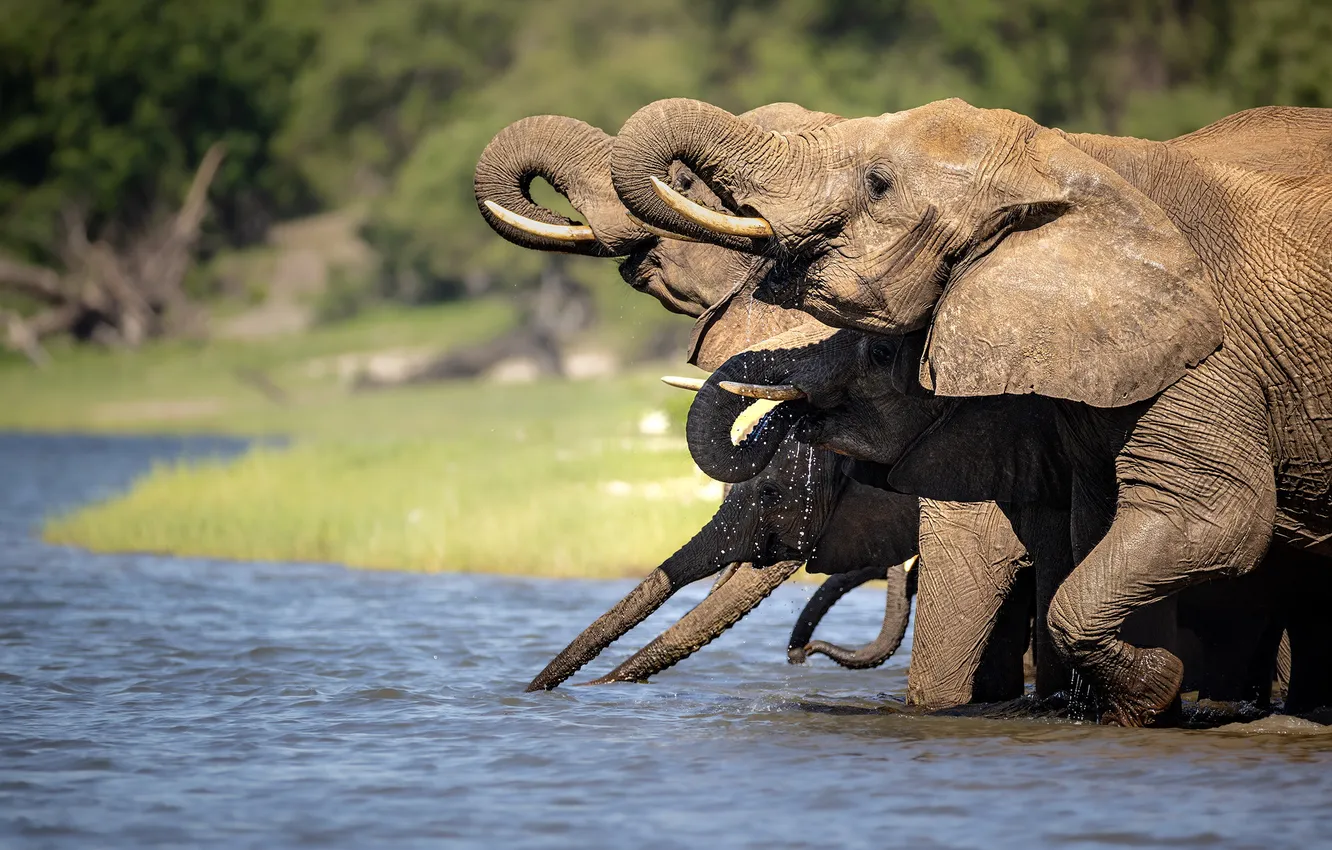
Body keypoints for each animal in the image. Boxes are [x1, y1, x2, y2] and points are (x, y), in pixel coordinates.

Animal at [611, 98, 1332, 724]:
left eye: (878, 184)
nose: (798, 654)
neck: (1071, 163)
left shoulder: (1208, 354)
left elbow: (1213, 519)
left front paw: (1146, 696)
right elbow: (1096, 529)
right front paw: (1136, 705)